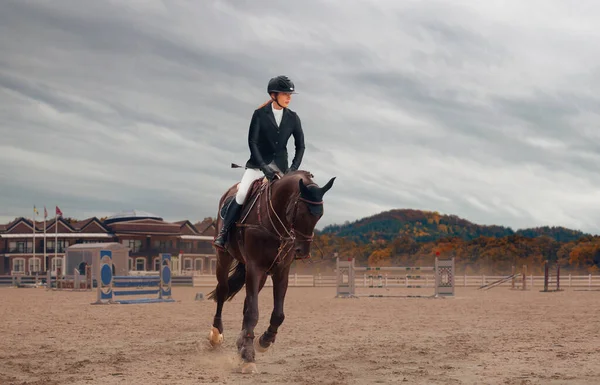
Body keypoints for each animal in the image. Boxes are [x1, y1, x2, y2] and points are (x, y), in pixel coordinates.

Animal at [207, 169, 336, 372]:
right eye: (300, 211)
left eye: (319, 215)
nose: (302, 252)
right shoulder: (254, 267)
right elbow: (253, 312)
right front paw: (248, 357)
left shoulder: (281, 271)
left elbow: (277, 314)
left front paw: (263, 341)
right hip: (224, 257)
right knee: (222, 291)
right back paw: (216, 334)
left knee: (246, 302)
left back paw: (242, 342)